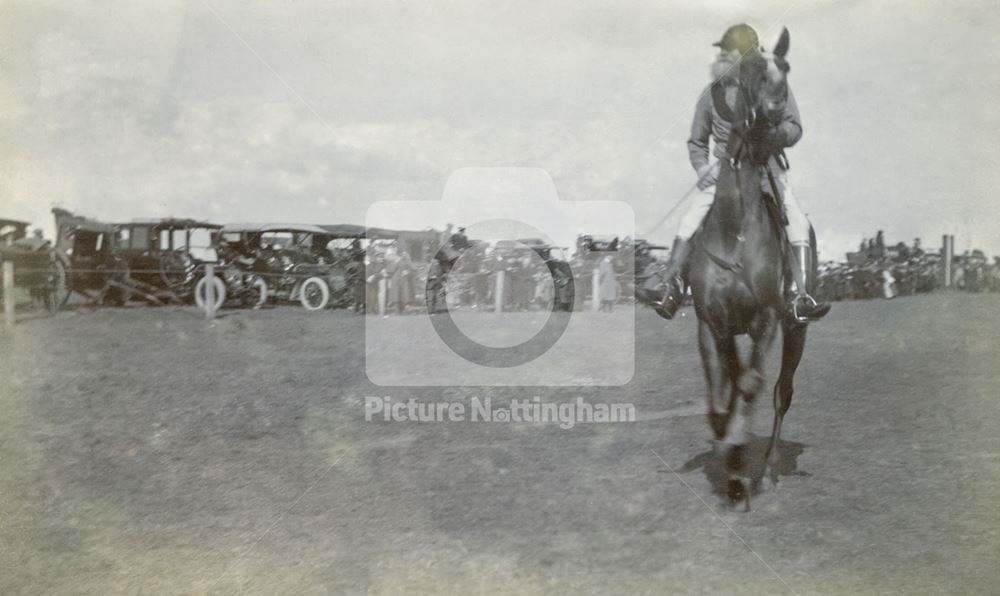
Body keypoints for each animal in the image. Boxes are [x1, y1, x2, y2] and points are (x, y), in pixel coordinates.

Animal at [684, 28, 808, 510]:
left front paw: (738, 467)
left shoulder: (767, 320)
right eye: (755, 69)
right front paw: (726, 454)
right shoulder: (711, 324)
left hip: (796, 330)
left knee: (780, 394)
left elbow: (752, 386)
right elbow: (720, 398)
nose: (775, 111)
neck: (735, 231)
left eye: (786, 69)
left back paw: (768, 471)